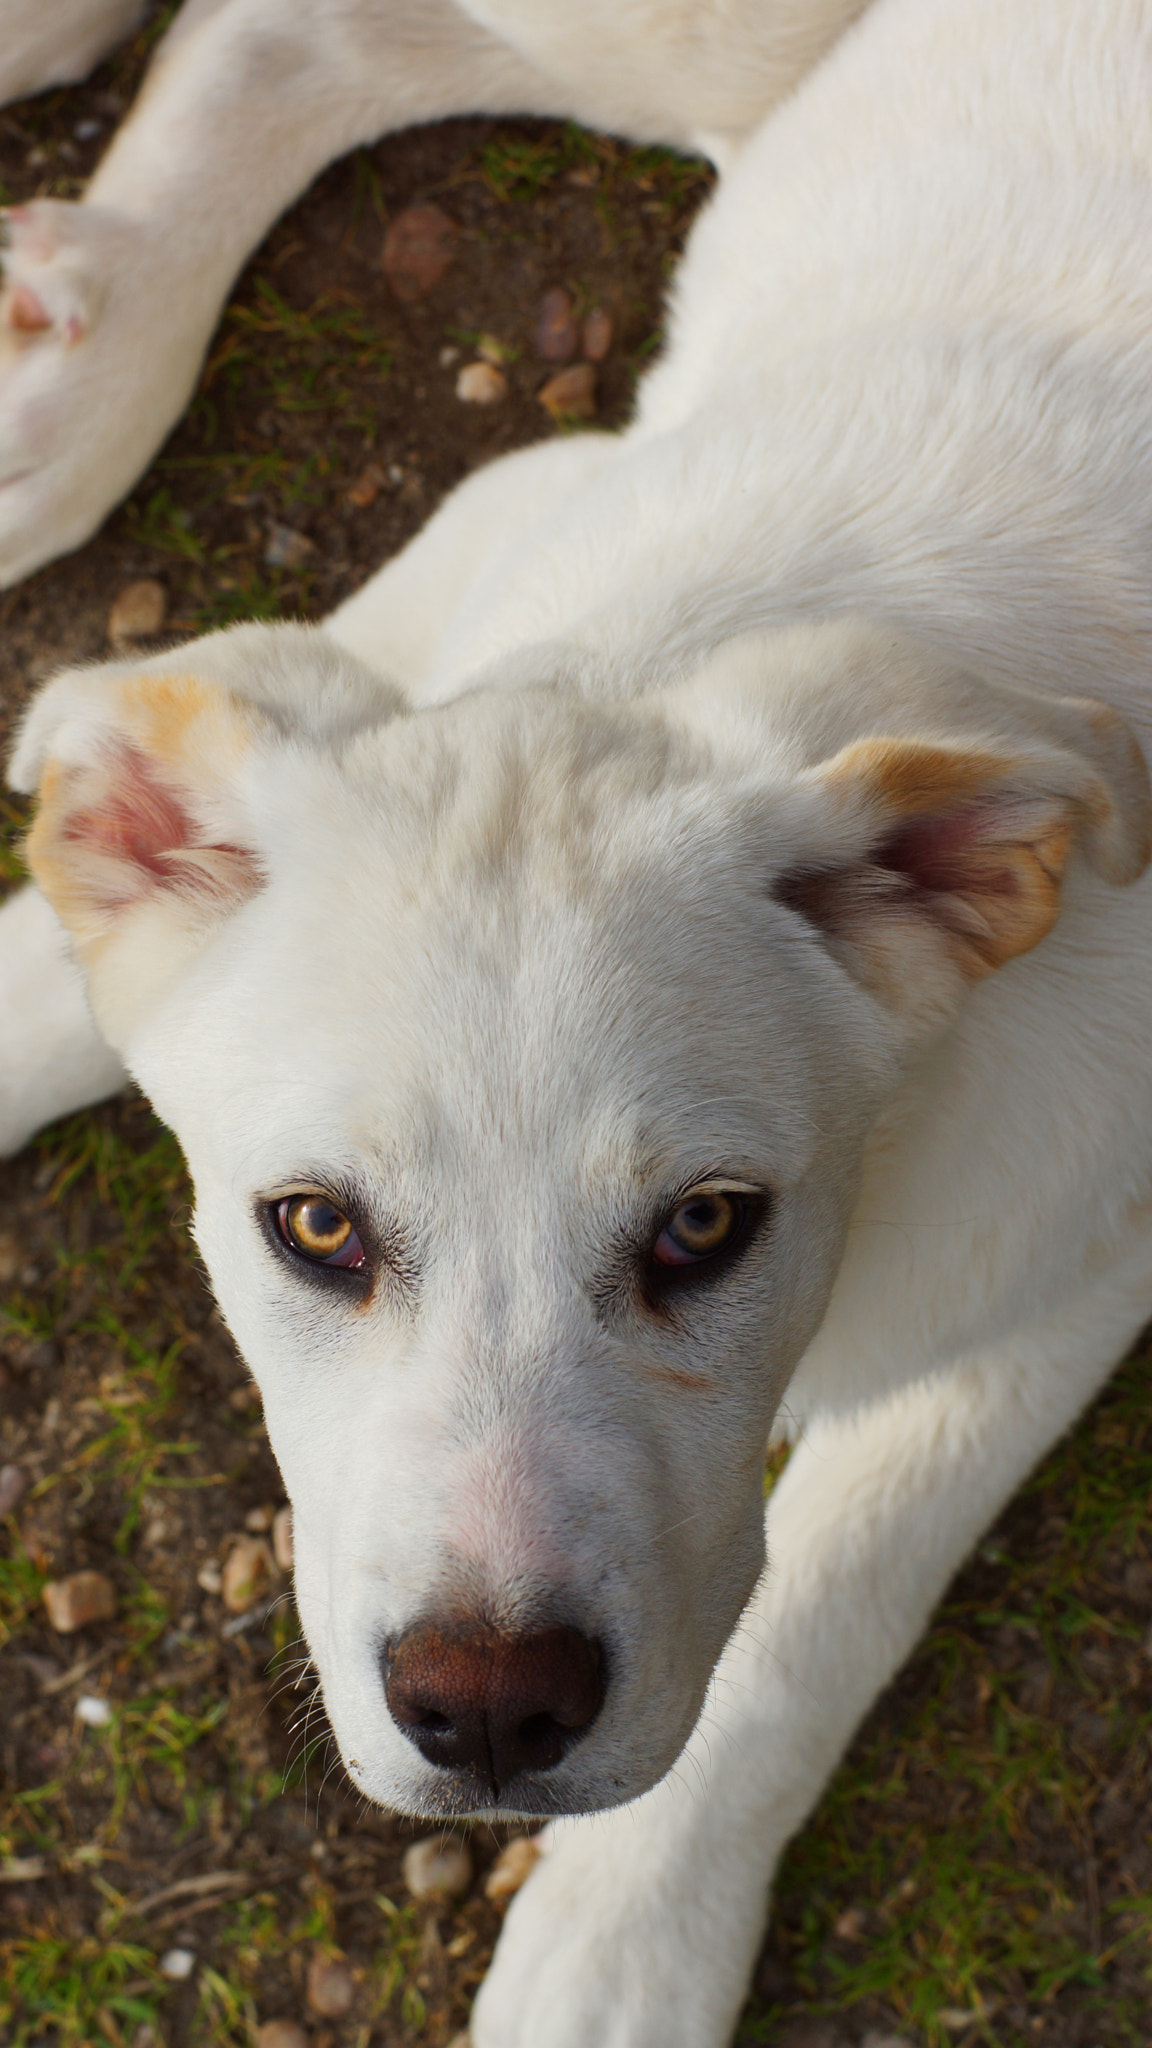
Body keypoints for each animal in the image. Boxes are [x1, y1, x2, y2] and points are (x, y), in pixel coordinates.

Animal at [2, 4, 1147, 2048]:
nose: (485, 1714)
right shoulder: (494, 530)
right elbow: (52, 965)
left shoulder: (1063, 1247)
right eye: (312, 1224)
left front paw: (624, 1947)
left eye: (706, 1225)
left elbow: (820, 1605)